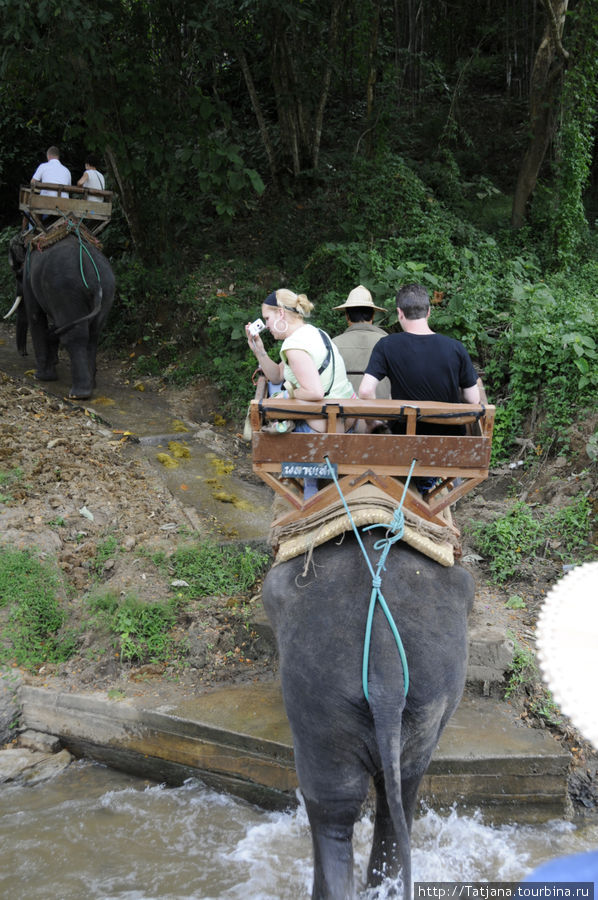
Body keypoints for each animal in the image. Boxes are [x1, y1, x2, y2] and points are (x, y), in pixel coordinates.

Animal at [7, 234, 115, 400]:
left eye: (17, 274)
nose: (24, 353)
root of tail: (94, 278)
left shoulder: (29, 277)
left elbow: (35, 315)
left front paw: (40, 376)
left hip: (66, 292)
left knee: (74, 337)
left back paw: (79, 394)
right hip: (107, 292)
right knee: (93, 335)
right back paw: (92, 385)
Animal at [264, 532, 476, 896]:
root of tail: (387, 675)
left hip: (321, 705)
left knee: (332, 807)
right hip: (432, 698)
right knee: (401, 793)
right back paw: (385, 887)